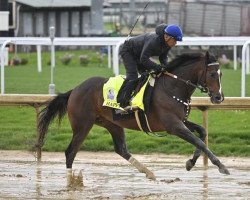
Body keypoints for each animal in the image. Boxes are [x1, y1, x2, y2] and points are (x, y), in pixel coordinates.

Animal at [36, 51, 229, 183]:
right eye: (212, 74)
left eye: (221, 74)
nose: (218, 98)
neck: (173, 87)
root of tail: (75, 89)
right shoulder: (173, 126)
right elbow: (199, 141)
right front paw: (221, 166)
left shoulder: (179, 122)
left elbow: (202, 133)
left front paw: (190, 162)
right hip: (82, 125)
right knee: (70, 152)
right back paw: (71, 181)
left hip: (111, 123)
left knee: (121, 149)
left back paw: (149, 173)